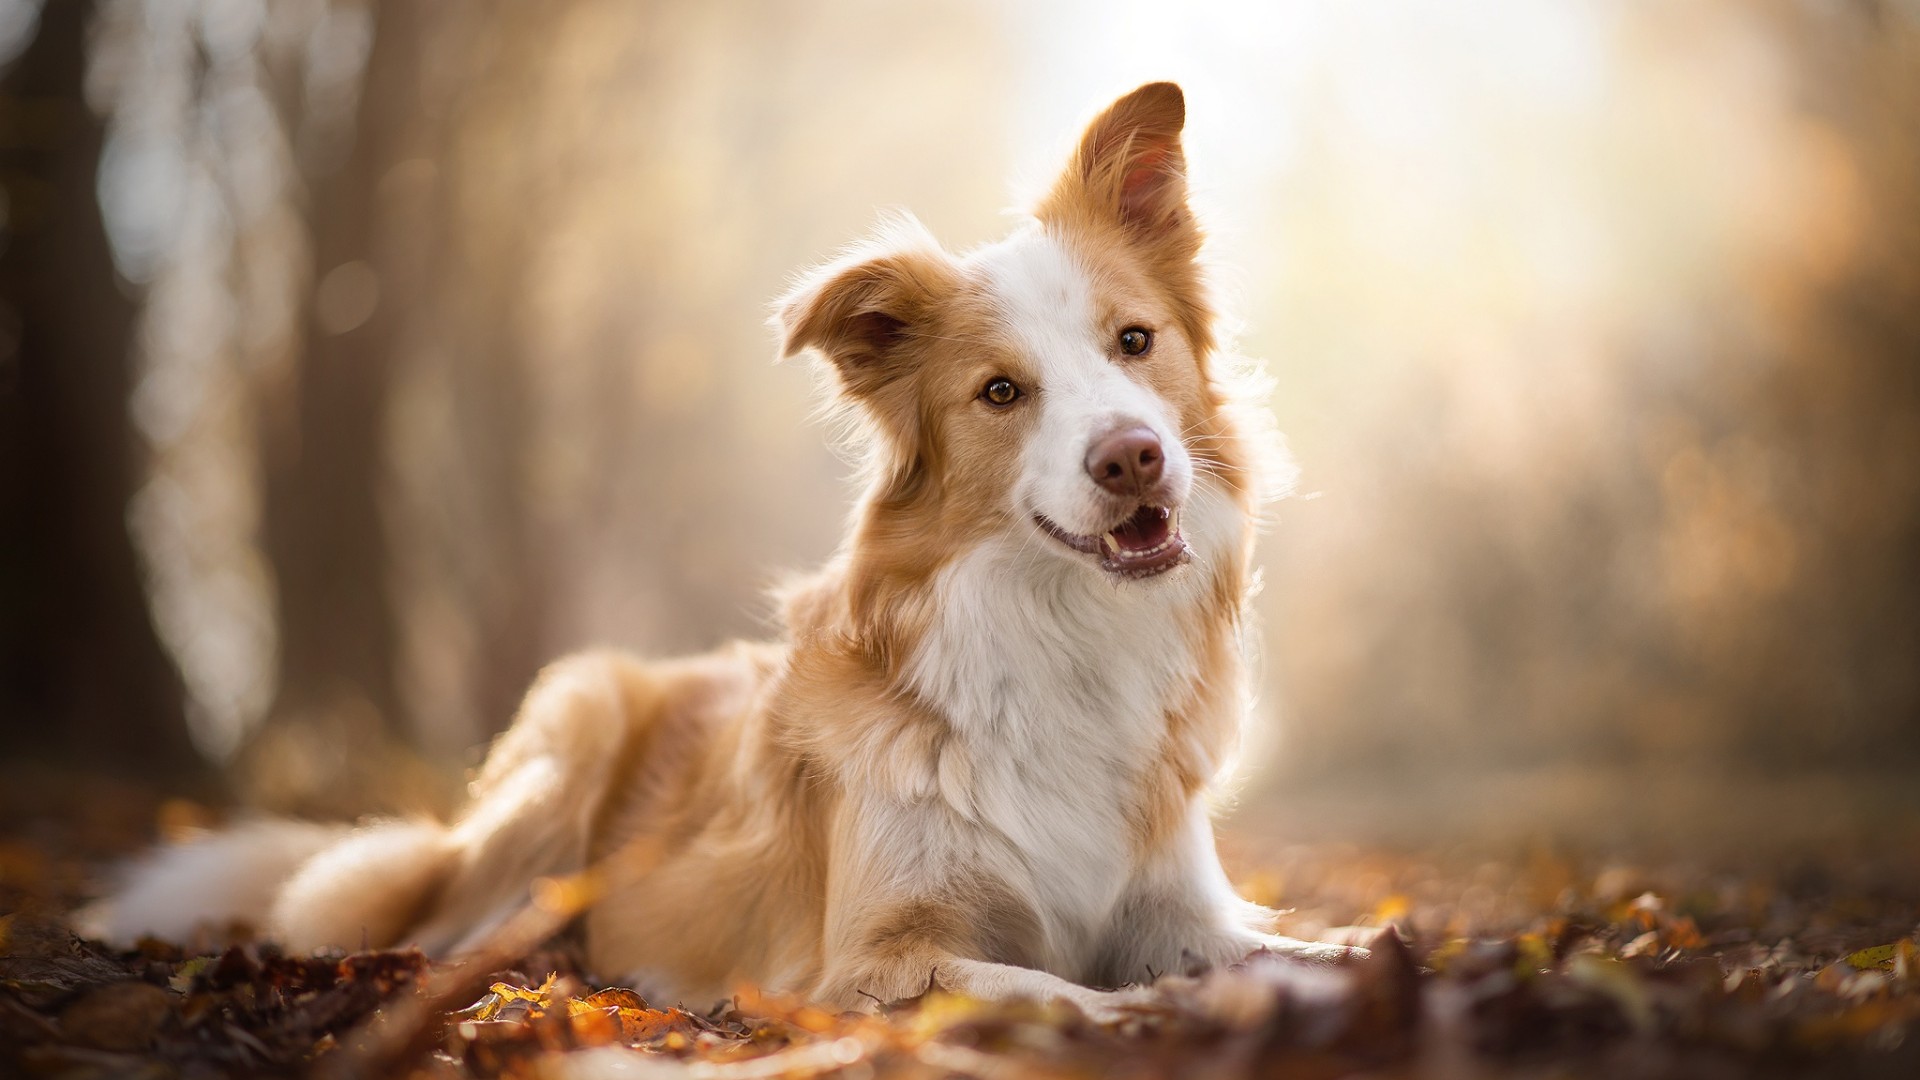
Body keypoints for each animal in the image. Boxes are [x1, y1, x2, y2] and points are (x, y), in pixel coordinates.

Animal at [82, 82, 1359, 1006]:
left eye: (1134, 340)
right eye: (1002, 392)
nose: (1133, 458)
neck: (1064, 635)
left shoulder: (1179, 908)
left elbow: (1277, 950)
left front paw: (1350, 970)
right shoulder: (876, 962)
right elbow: (1072, 992)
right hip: (574, 728)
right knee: (444, 917)